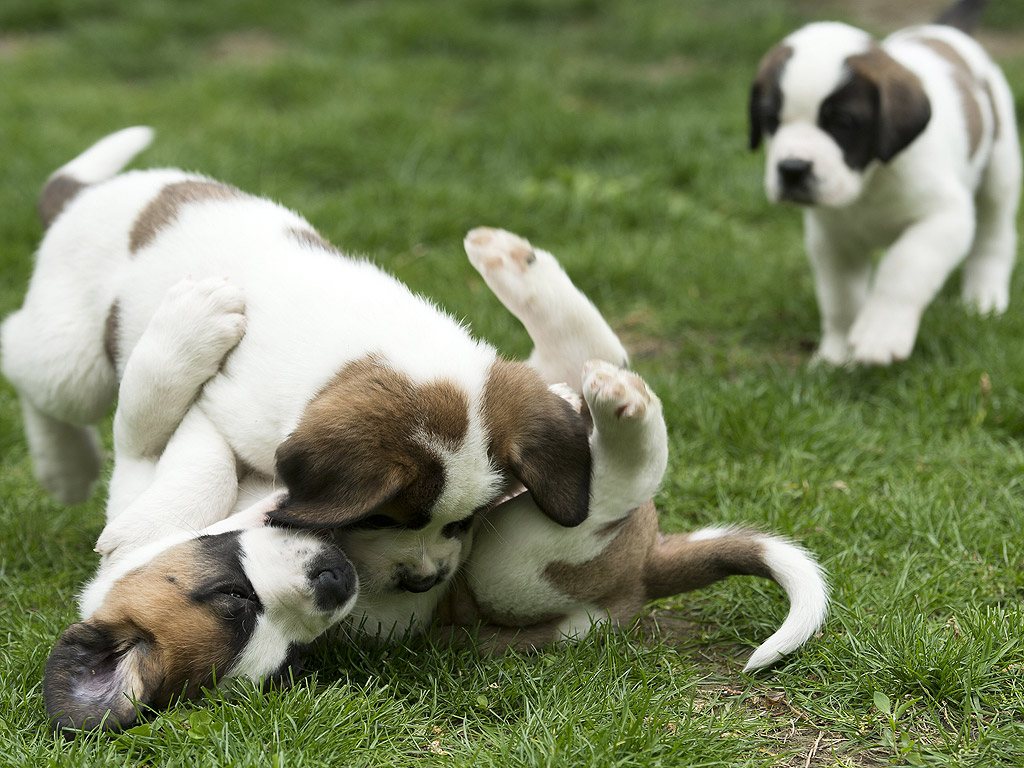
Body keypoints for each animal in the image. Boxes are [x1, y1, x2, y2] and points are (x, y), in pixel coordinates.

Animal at [749, 0, 1019, 366]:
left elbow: (902, 265)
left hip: (1000, 168)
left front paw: (880, 333)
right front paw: (836, 354)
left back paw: (983, 299)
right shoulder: (831, 238)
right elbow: (840, 298)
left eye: (842, 121)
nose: (792, 169)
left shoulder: (945, 217)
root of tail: (945, 31)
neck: (870, 179)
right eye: (771, 120)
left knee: (994, 235)